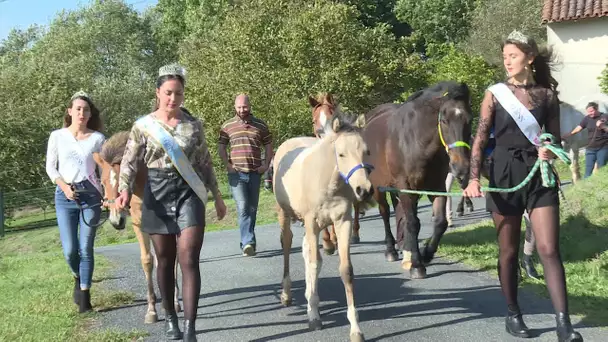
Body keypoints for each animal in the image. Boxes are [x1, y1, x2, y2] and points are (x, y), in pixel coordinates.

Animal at [96, 130, 182, 324]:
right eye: (102, 183)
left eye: (124, 181)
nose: (116, 221)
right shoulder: (139, 225)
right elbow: (147, 261)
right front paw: (151, 310)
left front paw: (171, 303)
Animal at [274, 111, 372, 340]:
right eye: (342, 154)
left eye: (366, 152)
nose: (364, 190)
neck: (328, 181)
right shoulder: (311, 221)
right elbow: (314, 264)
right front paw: (314, 316)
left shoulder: (342, 221)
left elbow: (345, 269)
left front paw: (355, 329)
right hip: (286, 214)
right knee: (287, 244)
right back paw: (286, 294)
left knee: (305, 249)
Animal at [352, 81, 476, 280]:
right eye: (444, 120)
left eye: (469, 119)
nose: (461, 168)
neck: (415, 142)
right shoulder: (405, 186)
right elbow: (412, 222)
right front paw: (417, 265)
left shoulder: (437, 187)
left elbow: (439, 222)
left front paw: (425, 254)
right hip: (379, 187)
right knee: (385, 213)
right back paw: (391, 250)